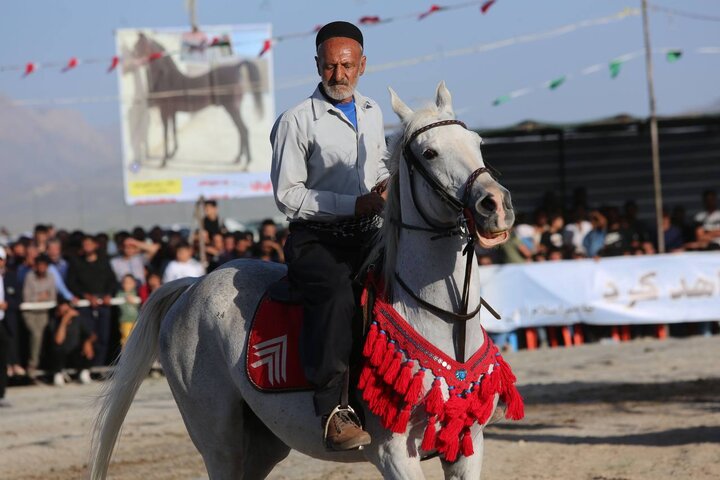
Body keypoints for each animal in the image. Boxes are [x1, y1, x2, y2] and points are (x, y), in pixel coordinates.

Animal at [90, 83, 516, 480]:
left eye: (477, 143)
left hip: (263, 443)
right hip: (218, 441)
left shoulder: (467, 446)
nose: (495, 204)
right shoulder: (393, 452)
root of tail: (194, 286)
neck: (441, 321)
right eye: (429, 153)